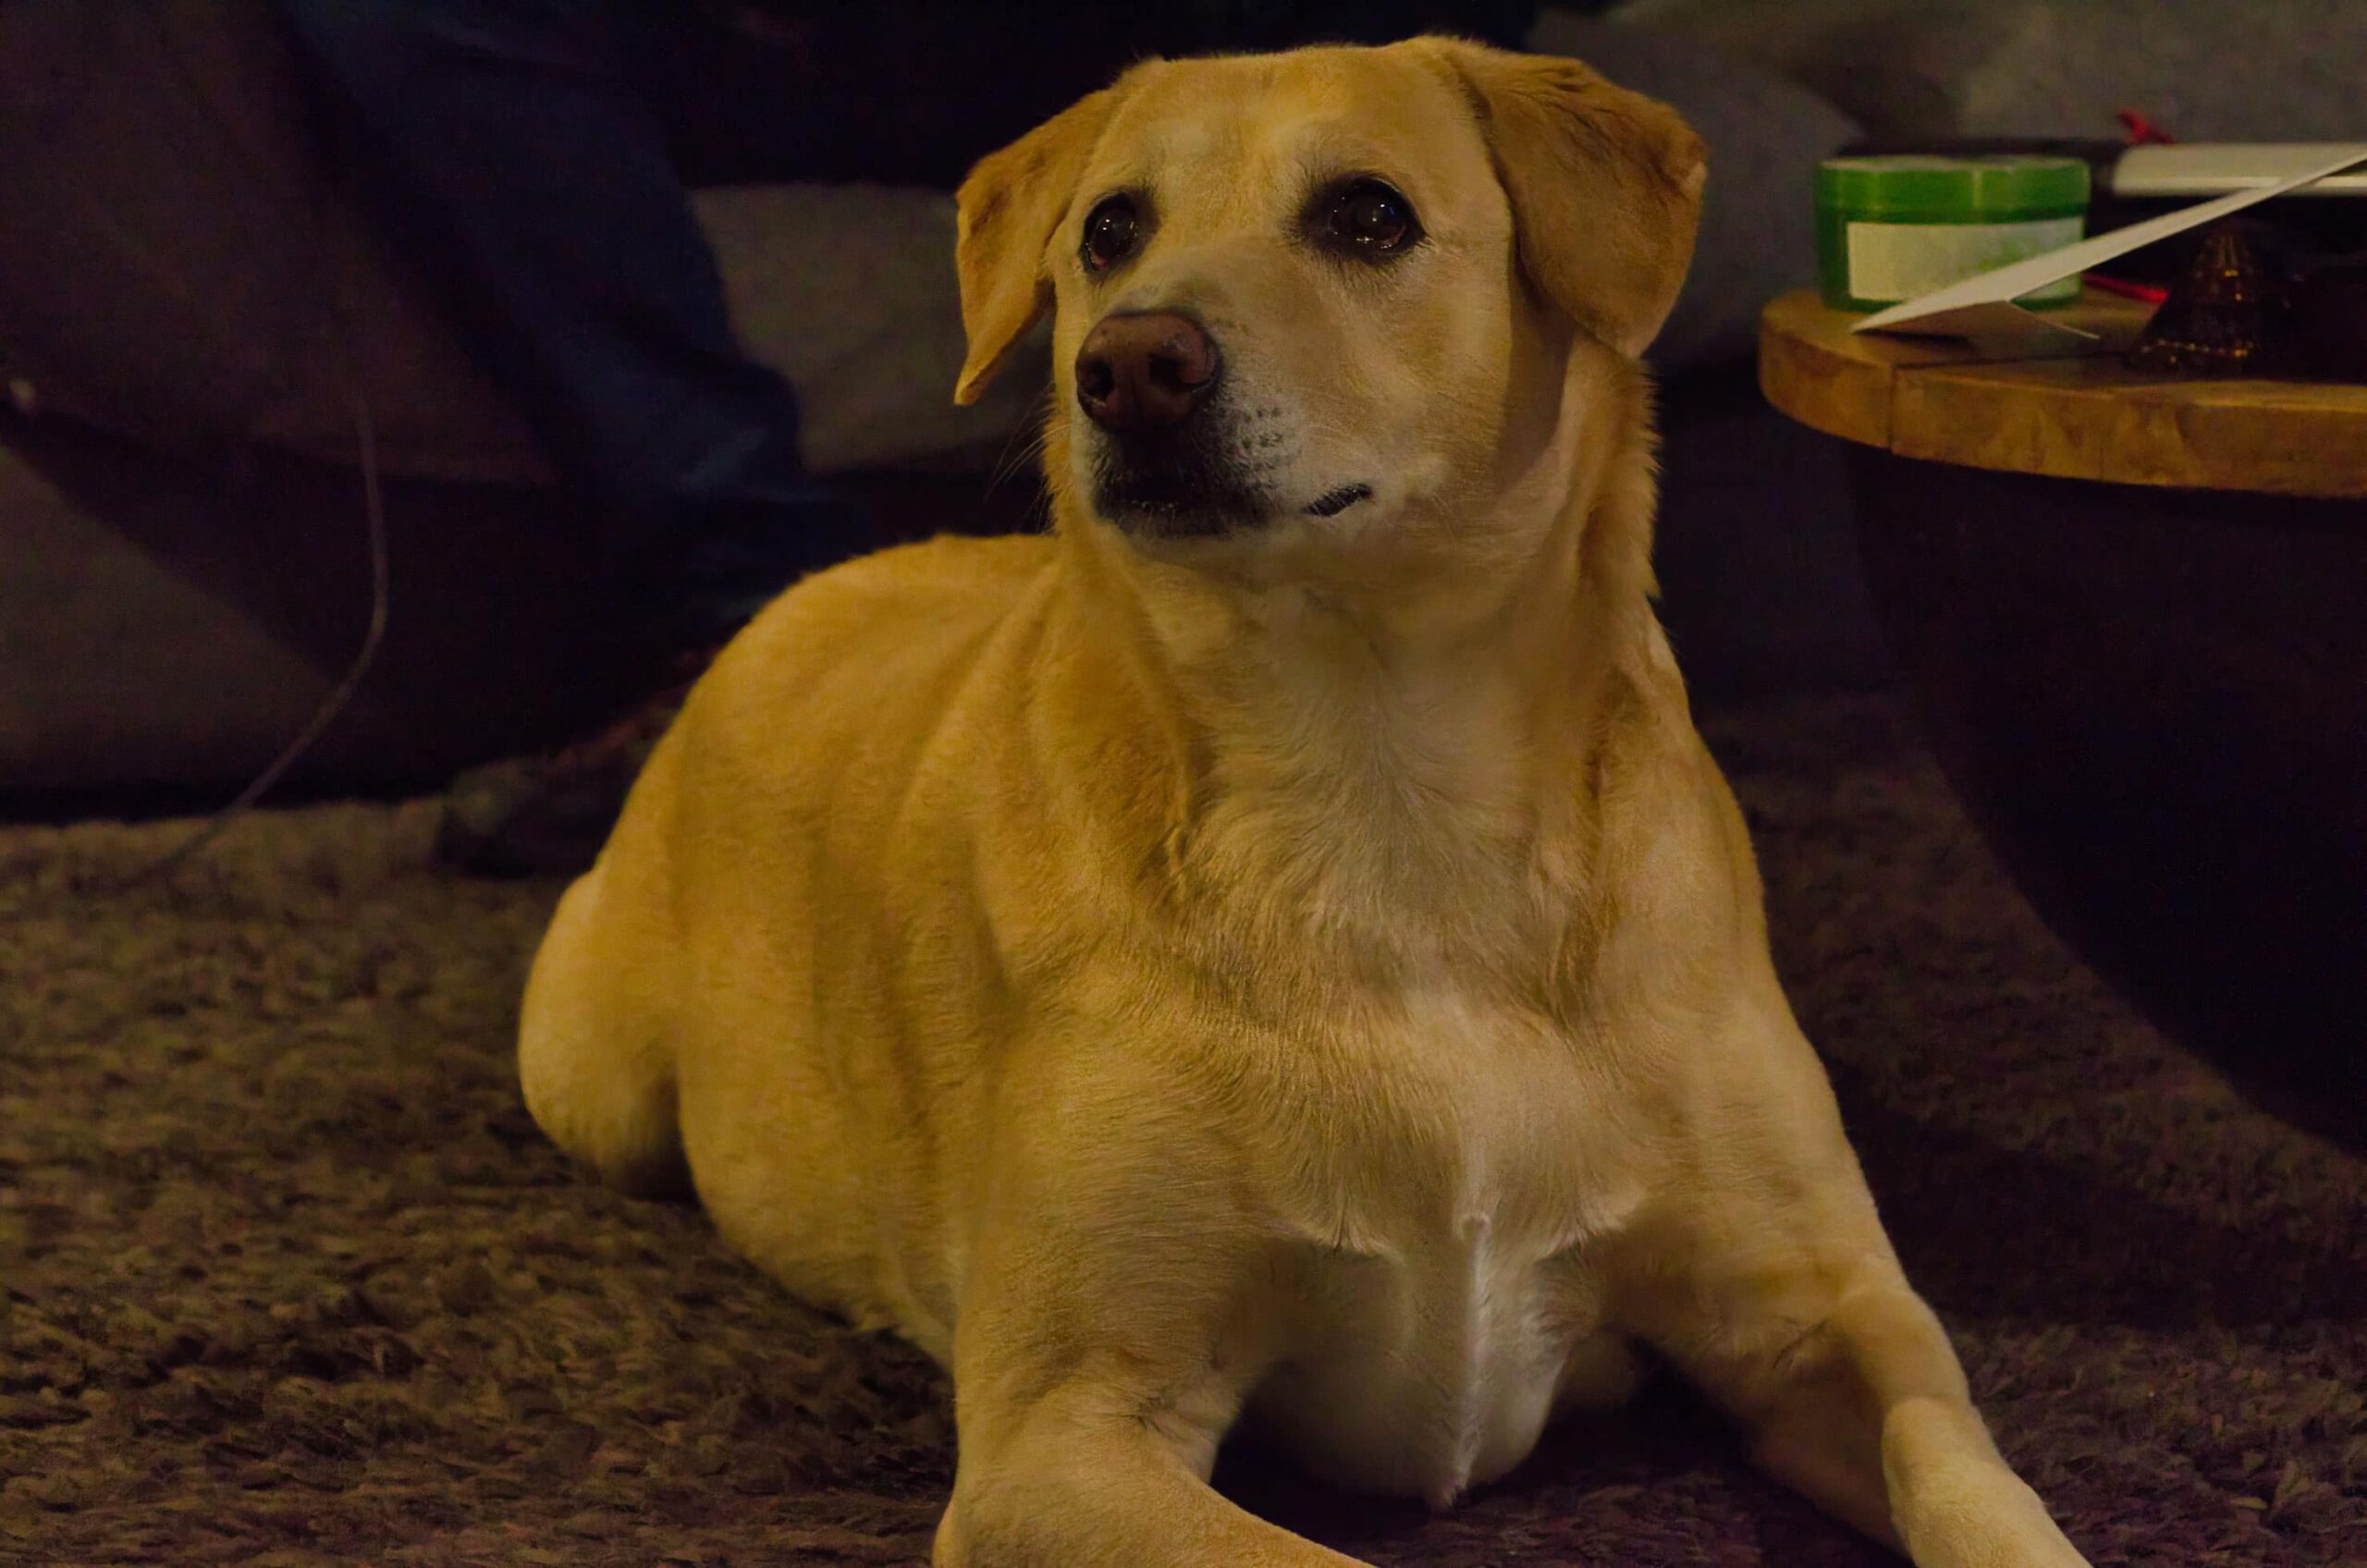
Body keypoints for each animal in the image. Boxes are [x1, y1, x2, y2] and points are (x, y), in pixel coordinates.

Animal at [519, 38, 2094, 1568]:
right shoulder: (1060, 1437)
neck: (1384, 787)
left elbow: (1983, 1490)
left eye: (1368, 217)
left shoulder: (1830, 1319)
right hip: (589, 1080)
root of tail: (811, 586)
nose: (1129, 364)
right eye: (1109, 231)